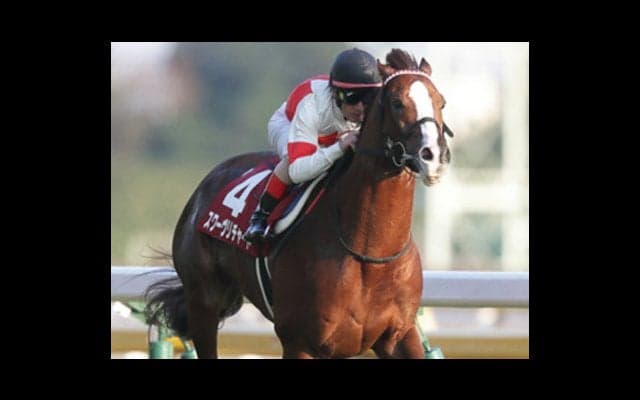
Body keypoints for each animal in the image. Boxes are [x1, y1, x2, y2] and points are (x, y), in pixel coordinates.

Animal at [145, 48, 454, 359]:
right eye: (397, 102)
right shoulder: (300, 341)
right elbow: (298, 162)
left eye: (441, 101)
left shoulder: (399, 335)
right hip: (204, 302)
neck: (371, 254)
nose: (433, 156)